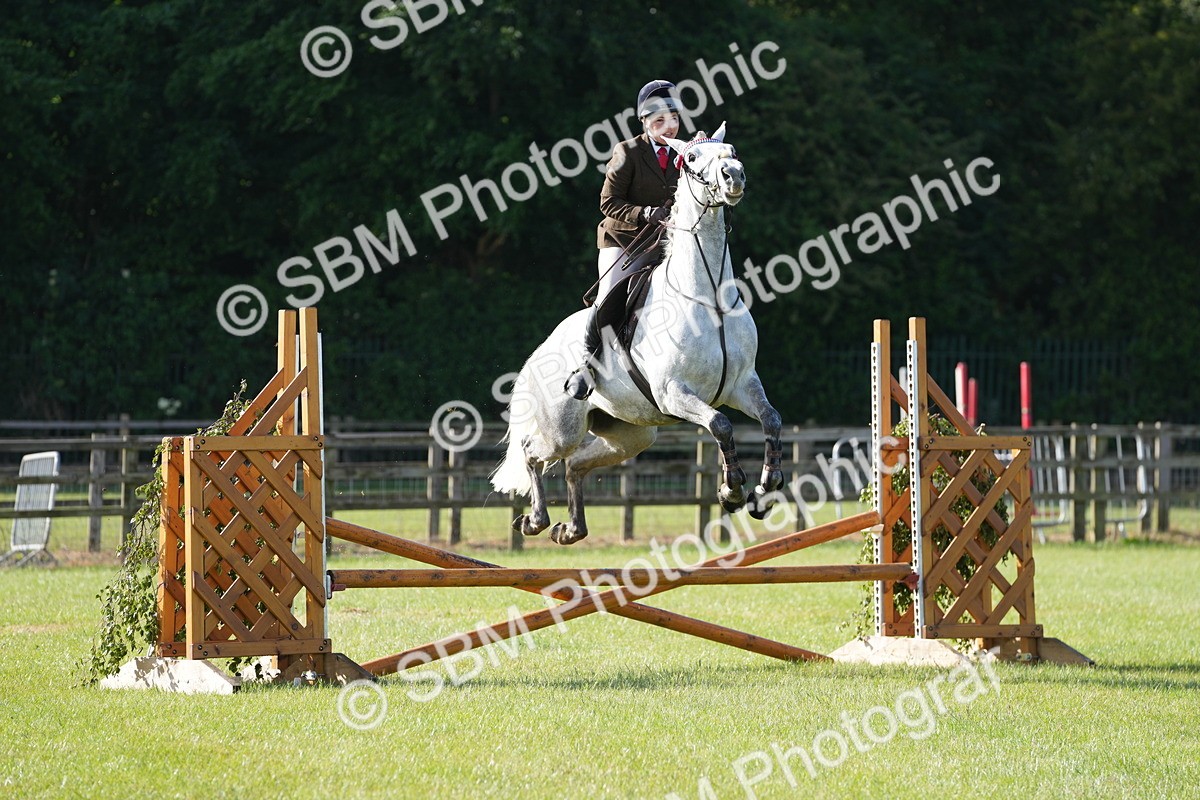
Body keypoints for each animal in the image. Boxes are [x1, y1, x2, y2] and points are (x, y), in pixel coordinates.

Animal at [490, 123, 784, 544]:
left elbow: (771, 420)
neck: (708, 296)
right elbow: (720, 425)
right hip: (563, 427)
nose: (734, 176)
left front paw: (765, 490)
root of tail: (540, 352)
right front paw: (731, 491)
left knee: (575, 464)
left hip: (630, 434)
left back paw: (571, 529)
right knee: (533, 451)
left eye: (731, 151)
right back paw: (535, 520)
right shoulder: (674, 392)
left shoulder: (741, 384)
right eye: (691, 158)